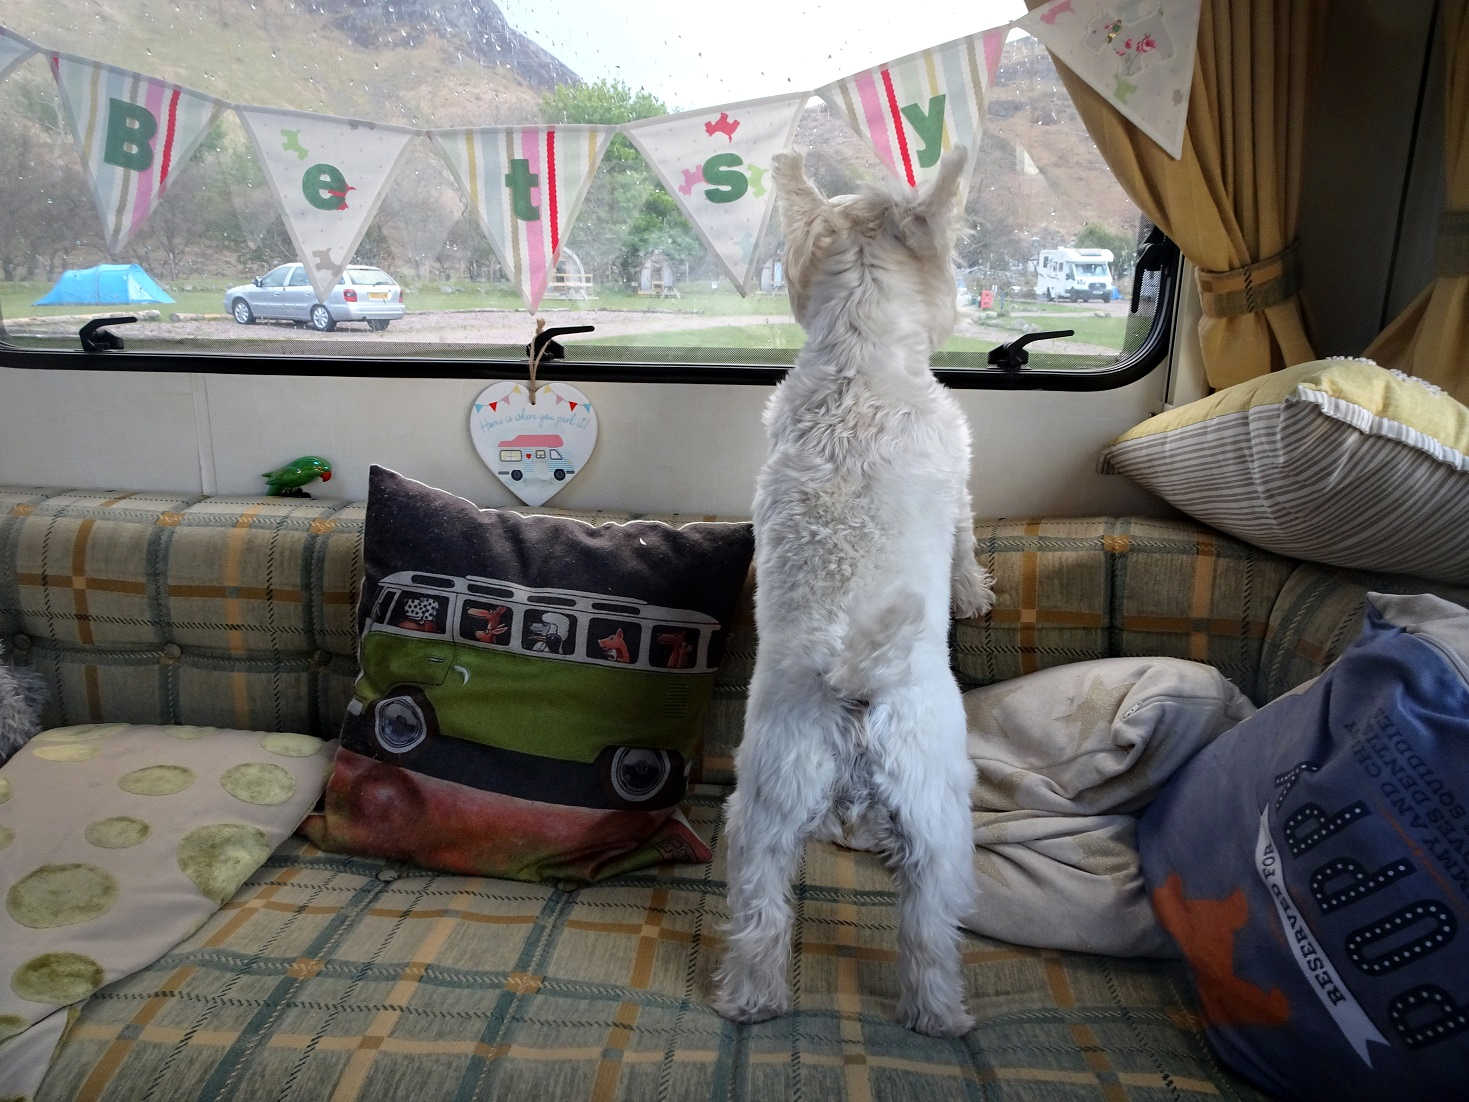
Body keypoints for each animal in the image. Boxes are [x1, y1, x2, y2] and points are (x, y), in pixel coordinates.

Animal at [713, 146, 998, 1034]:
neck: (862, 353)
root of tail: (852, 679)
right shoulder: (961, 472)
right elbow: (965, 538)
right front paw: (973, 593)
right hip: (941, 811)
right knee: (930, 930)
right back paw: (944, 1015)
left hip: (771, 807)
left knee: (764, 916)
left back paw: (755, 999)